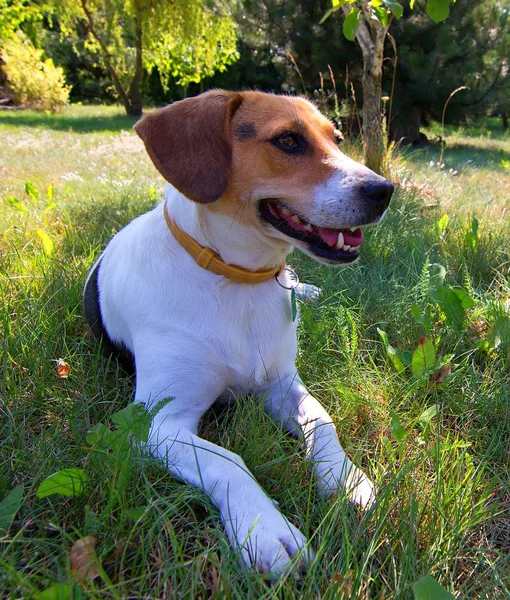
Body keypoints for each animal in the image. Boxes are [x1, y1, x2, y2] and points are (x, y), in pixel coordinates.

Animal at [83, 92, 394, 576]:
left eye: (337, 139)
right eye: (288, 140)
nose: (383, 190)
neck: (237, 281)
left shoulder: (283, 383)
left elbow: (324, 424)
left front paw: (347, 479)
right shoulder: (157, 423)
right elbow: (228, 461)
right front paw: (265, 529)